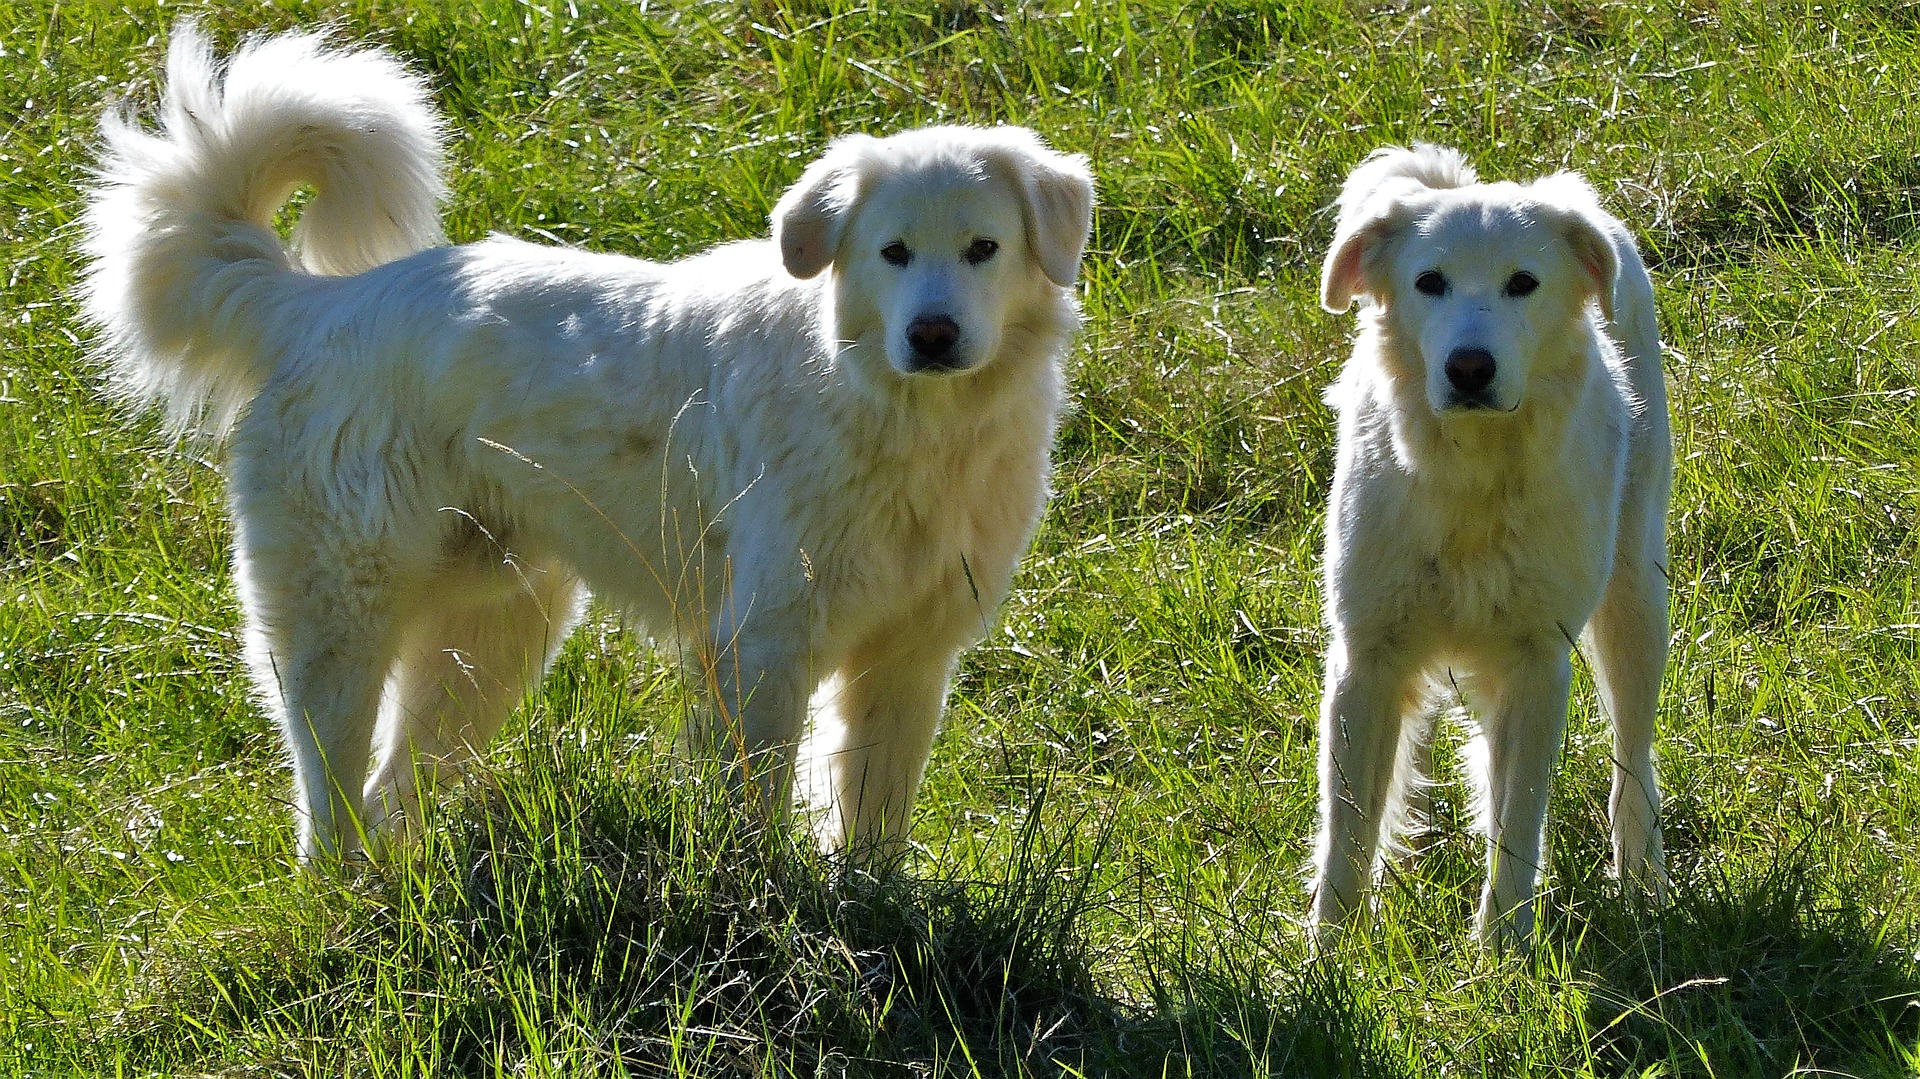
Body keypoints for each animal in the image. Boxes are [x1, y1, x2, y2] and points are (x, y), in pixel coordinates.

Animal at [78, 23, 1098, 863]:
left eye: (982, 248)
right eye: (893, 252)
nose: (932, 334)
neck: (906, 420)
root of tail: (316, 303)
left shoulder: (910, 652)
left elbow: (873, 816)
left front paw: (869, 910)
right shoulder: (764, 643)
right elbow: (756, 810)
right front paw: (769, 911)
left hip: (492, 632)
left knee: (390, 793)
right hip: (341, 618)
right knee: (329, 800)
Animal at [1313, 141, 1674, 940]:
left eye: (1522, 284)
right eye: (1430, 283)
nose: (1470, 368)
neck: (1473, 476)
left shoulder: (1537, 663)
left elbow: (1519, 822)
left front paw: (1502, 946)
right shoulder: (1368, 656)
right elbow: (1347, 832)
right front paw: (1329, 955)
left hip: (1637, 602)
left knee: (1632, 756)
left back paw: (1644, 879)